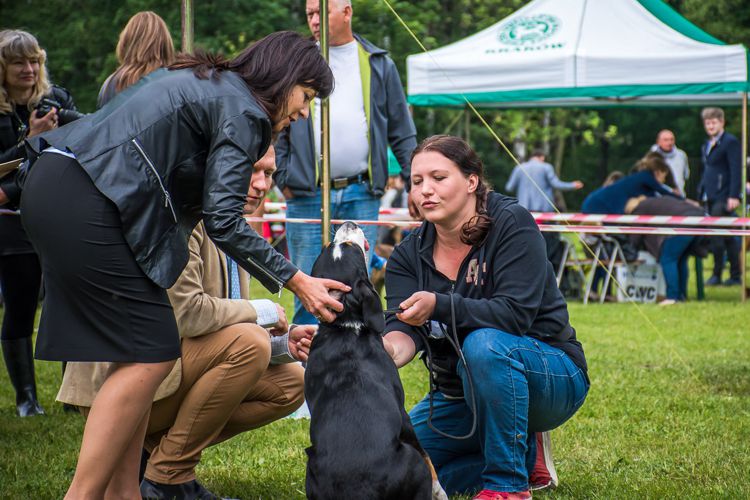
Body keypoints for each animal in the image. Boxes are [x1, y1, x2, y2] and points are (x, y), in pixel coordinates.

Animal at [304, 223, 446, 500]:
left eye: (331, 245)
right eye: (349, 246)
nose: (348, 223)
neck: (347, 326)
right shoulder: (403, 415)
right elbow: (428, 457)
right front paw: (440, 491)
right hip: (410, 459)